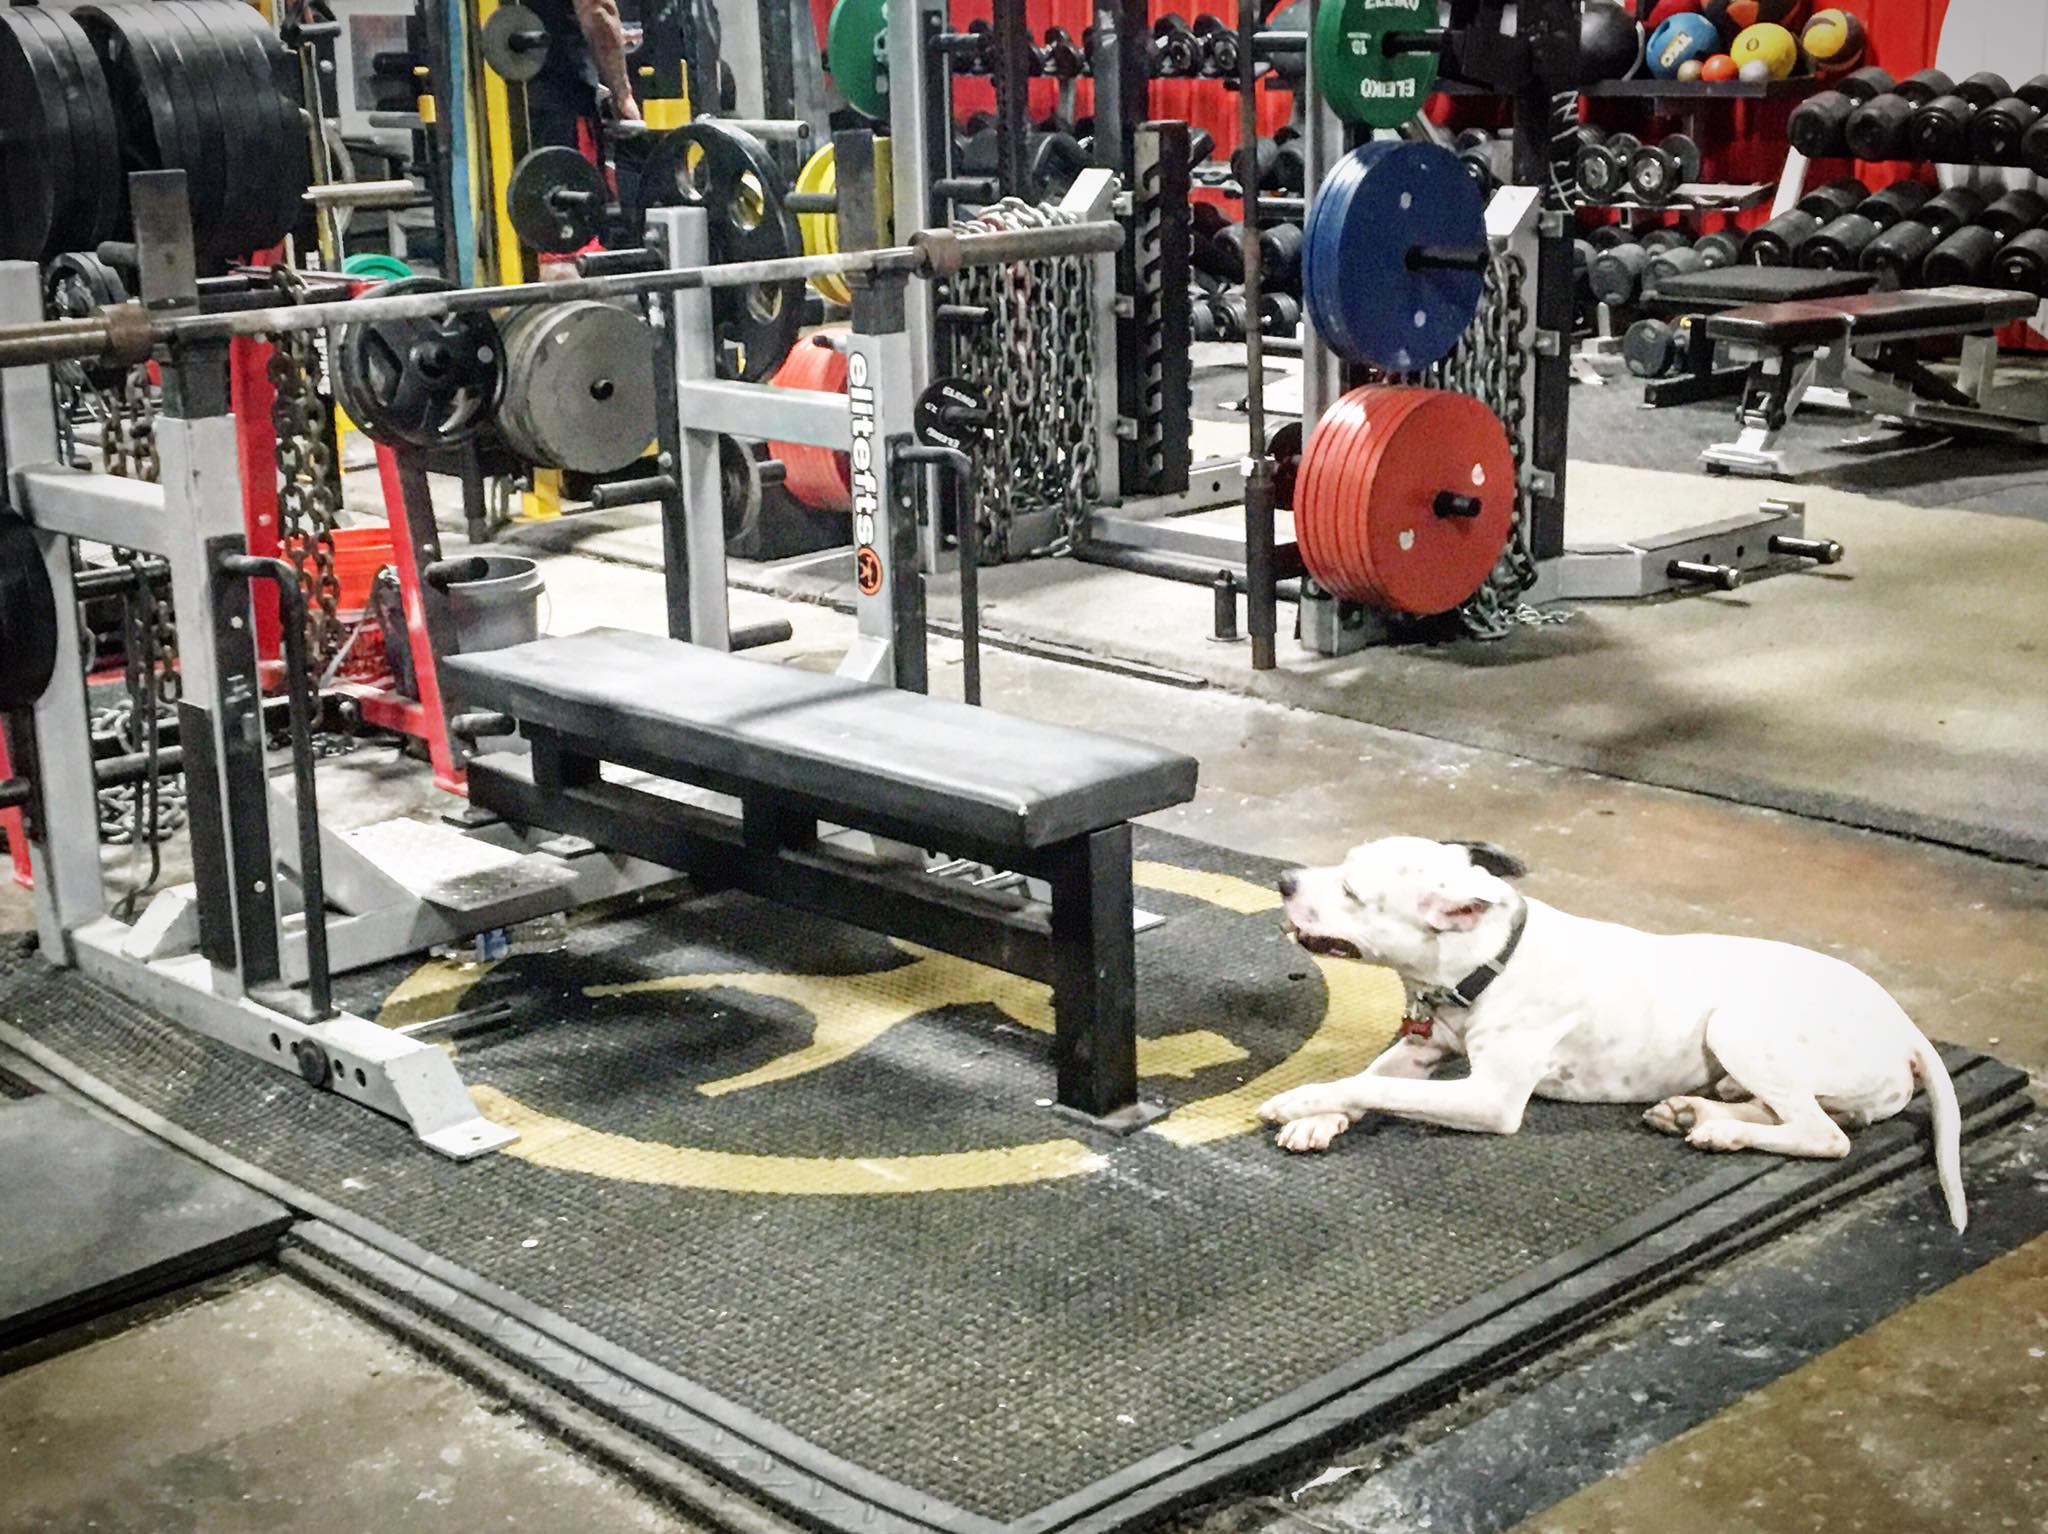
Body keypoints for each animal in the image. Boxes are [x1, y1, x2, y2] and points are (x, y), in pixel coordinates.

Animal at [1245, 831, 1966, 1228]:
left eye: (1353, 892)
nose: (1283, 879)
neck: (1488, 959)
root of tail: (1907, 1026)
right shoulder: (1423, 1050)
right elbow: (1368, 1078)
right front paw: (1318, 1116)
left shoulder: (1489, 1098)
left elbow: (1380, 1091)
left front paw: (1298, 1101)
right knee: (1808, 1114)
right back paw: (1696, 1110)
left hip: (1740, 1025)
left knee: (1824, 1136)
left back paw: (1721, 1130)